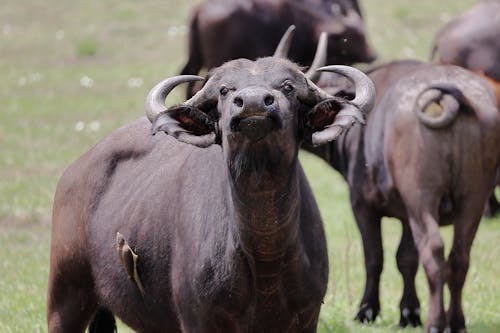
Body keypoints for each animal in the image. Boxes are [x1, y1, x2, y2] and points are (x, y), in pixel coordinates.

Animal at [46, 55, 376, 330]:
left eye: (287, 86)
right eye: (225, 90)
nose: (254, 103)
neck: (264, 258)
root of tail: (74, 172)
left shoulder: (307, 318)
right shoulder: (198, 320)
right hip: (65, 295)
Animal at [308, 60, 500, 332]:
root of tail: (449, 97)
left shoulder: (363, 205)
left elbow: (374, 257)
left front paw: (367, 311)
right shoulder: (407, 215)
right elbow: (407, 258)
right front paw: (409, 312)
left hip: (422, 200)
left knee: (433, 251)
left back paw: (435, 322)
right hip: (473, 200)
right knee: (459, 257)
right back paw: (455, 322)